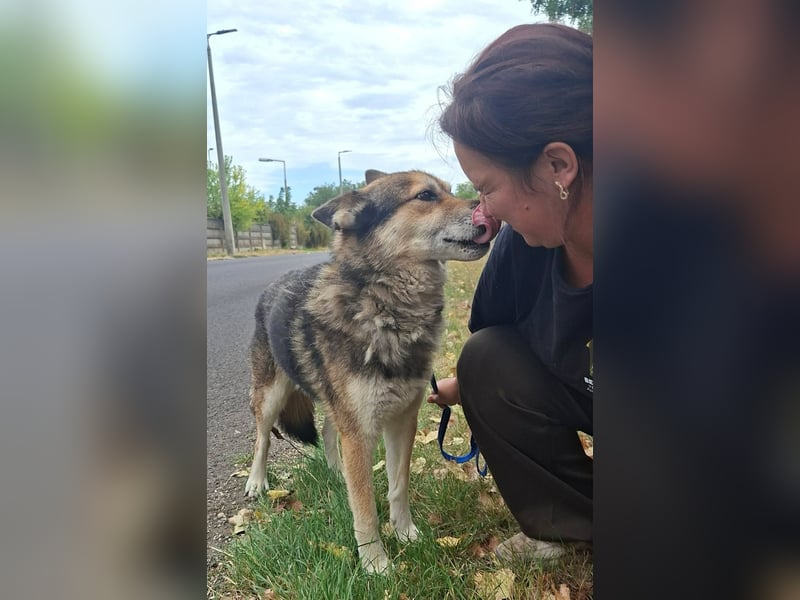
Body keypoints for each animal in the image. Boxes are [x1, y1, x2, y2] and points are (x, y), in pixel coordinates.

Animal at [244, 169, 491, 573]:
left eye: (450, 190)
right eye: (426, 196)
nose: (489, 210)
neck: (386, 309)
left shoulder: (401, 421)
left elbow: (397, 486)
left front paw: (405, 534)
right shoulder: (360, 432)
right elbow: (364, 508)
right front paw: (375, 563)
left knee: (328, 431)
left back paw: (336, 472)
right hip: (271, 396)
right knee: (263, 438)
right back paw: (256, 481)